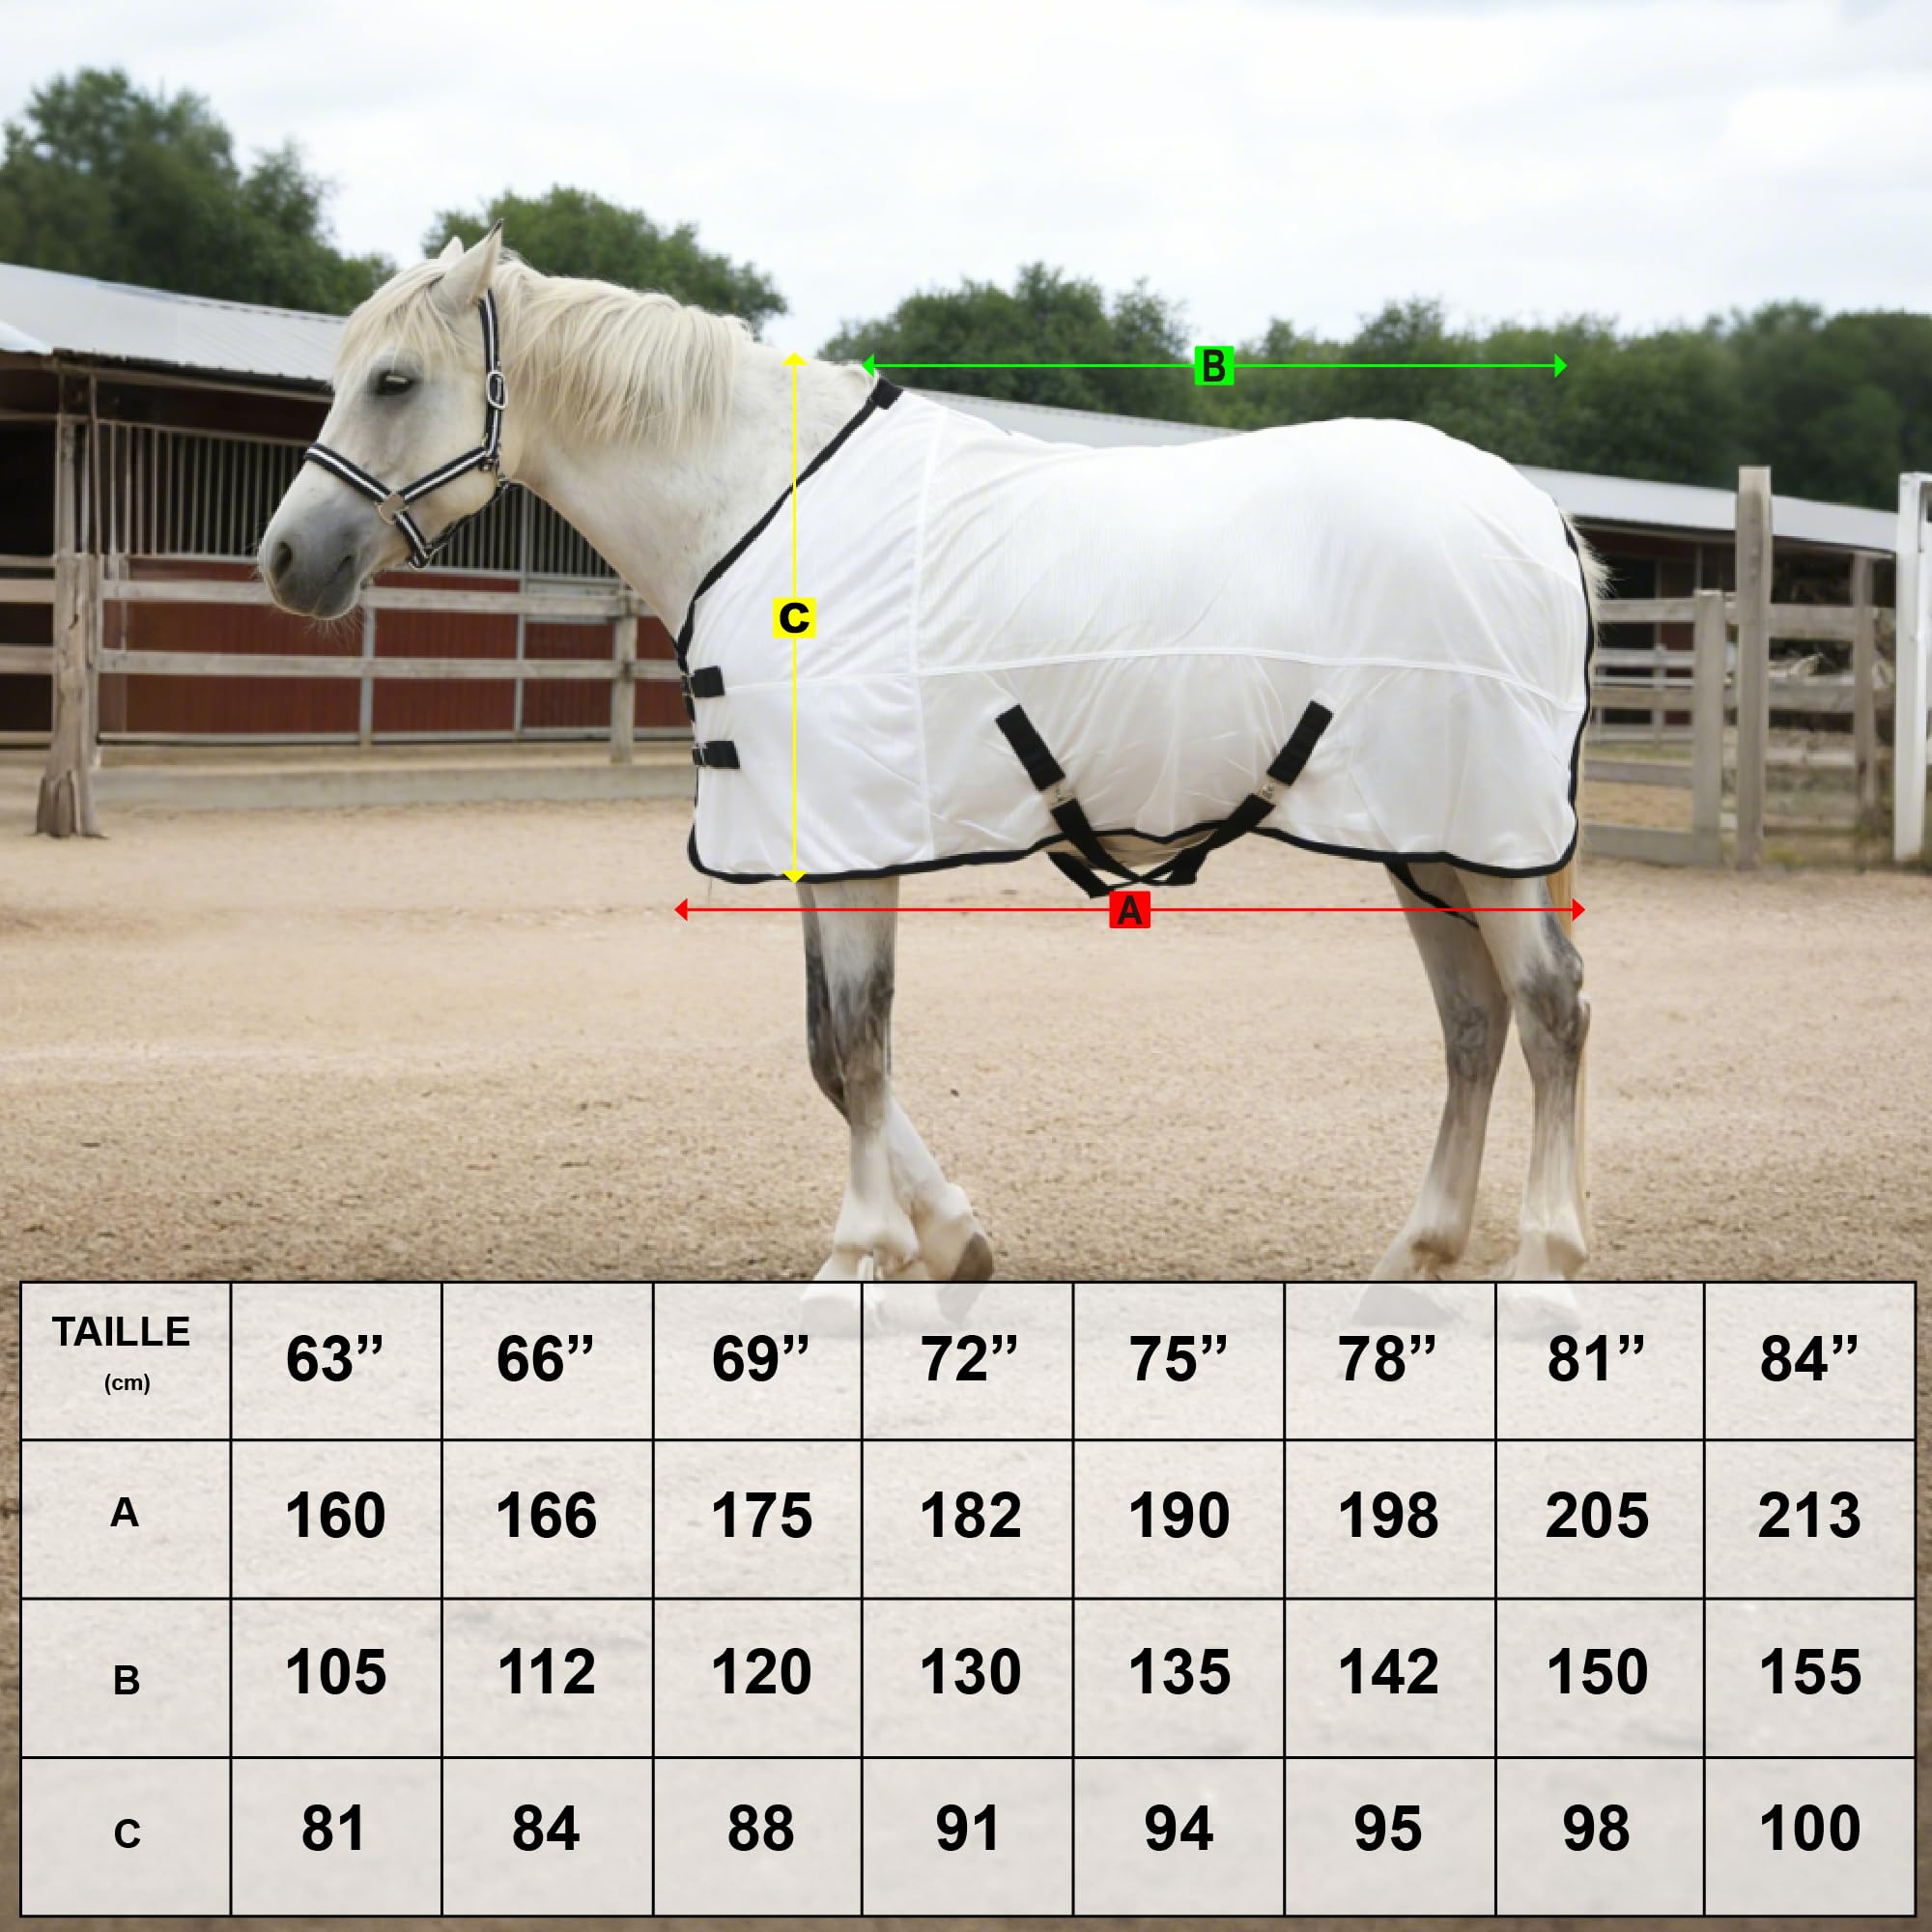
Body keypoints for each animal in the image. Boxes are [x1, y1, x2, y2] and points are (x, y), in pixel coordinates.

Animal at [259, 227, 1600, 1331]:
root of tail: (1533, 516)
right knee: (1472, 1023)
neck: (762, 509)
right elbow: (828, 1049)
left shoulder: (855, 838)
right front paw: (951, 1240)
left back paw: (1542, 1265)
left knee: (1547, 1009)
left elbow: (856, 1043)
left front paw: (859, 1257)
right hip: (1422, 837)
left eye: (394, 381)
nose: (284, 558)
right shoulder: (827, 839)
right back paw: (1413, 1260)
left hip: (1482, 837)